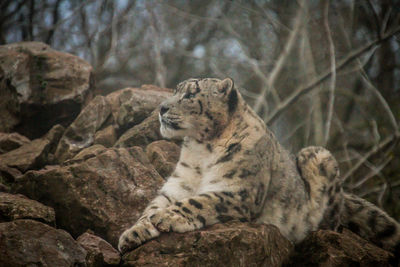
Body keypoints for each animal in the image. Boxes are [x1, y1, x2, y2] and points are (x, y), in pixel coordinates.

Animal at [117, 78, 398, 258]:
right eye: (175, 91)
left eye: (190, 95)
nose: (161, 107)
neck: (201, 150)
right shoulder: (177, 186)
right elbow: (152, 207)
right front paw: (133, 233)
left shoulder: (238, 191)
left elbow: (198, 202)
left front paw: (166, 217)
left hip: (318, 155)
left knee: (334, 219)